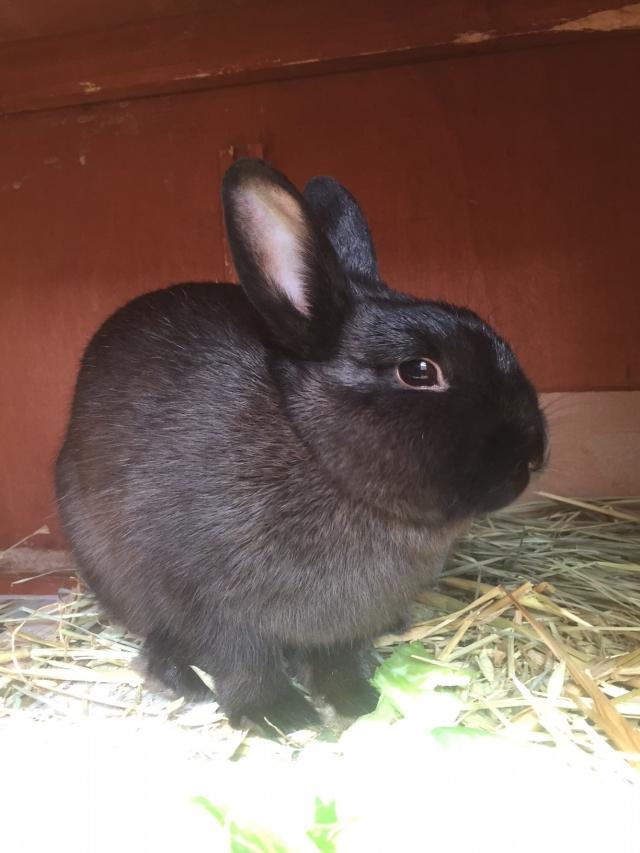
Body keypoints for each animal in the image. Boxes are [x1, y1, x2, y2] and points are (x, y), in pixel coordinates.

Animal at [55, 158, 547, 732]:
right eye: (419, 371)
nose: (533, 454)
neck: (316, 452)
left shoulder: (343, 626)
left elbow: (337, 660)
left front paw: (359, 701)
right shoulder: (214, 608)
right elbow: (243, 662)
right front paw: (279, 717)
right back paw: (183, 681)